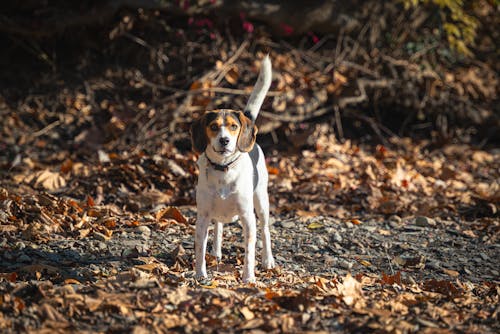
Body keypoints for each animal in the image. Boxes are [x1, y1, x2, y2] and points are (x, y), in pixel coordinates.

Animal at [191, 55, 276, 282]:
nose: (225, 140)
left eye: (233, 126)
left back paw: (268, 260)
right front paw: (200, 274)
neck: (224, 169)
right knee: (219, 227)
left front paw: (249, 277)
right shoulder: (202, 217)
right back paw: (216, 252)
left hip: (261, 202)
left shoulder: (248, 217)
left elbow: (249, 252)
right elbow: (199, 248)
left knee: (265, 230)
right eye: (213, 127)